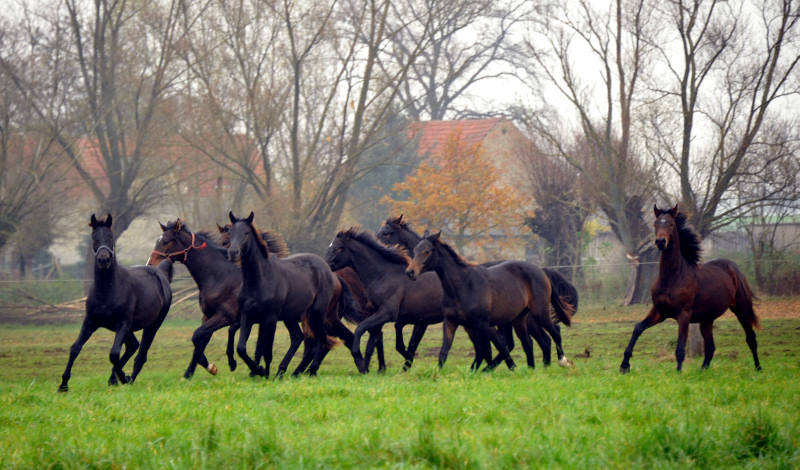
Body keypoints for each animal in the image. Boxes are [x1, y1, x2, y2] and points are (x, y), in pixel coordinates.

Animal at [57, 215, 173, 392]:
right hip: (130, 329)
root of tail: (160, 271)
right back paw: (114, 379)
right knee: (133, 346)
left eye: (111, 237)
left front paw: (123, 378)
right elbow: (75, 348)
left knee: (141, 354)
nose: (103, 259)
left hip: (153, 325)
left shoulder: (122, 324)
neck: (107, 291)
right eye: (94, 237)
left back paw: (127, 379)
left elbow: (113, 354)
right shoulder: (90, 322)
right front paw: (63, 384)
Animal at [147, 219, 310, 378]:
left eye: (166, 241)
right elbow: (200, 341)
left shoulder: (226, 317)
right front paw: (190, 373)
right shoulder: (208, 316)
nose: (151, 264)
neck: (219, 276)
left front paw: (219, 365)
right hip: (289, 317)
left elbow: (198, 335)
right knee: (297, 338)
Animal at [324, 229, 444, 372]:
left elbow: (360, 329)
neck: (384, 276)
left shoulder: (388, 313)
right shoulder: (378, 315)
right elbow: (371, 344)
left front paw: (358, 358)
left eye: (337, 248)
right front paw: (366, 369)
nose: (323, 264)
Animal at [378, 216, 580, 368]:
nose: (410, 272)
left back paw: (558, 362)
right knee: (536, 340)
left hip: (534, 315)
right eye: (415, 249)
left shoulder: (425, 319)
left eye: (387, 233)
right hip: (517, 319)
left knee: (549, 334)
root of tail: (542, 271)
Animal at [620, 204, 764, 372]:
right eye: (655, 224)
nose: (661, 242)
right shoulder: (659, 311)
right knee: (710, 347)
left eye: (671, 224)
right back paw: (702, 371)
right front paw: (624, 365)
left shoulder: (684, 315)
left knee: (751, 338)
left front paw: (678, 372)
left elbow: (680, 348)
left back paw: (758, 368)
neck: (672, 278)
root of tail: (734, 268)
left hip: (740, 308)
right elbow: (638, 328)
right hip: (707, 319)